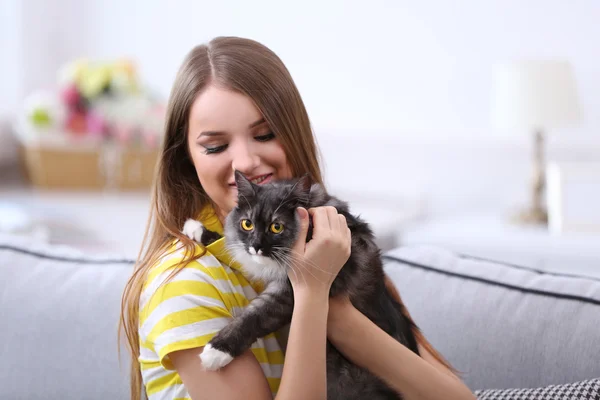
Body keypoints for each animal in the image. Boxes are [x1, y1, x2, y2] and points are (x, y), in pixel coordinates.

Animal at [180, 170, 420, 398]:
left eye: (276, 227)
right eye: (247, 224)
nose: (256, 246)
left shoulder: (290, 291)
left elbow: (255, 316)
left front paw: (216, 351)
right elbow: (232, 249)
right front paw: (196, 229)